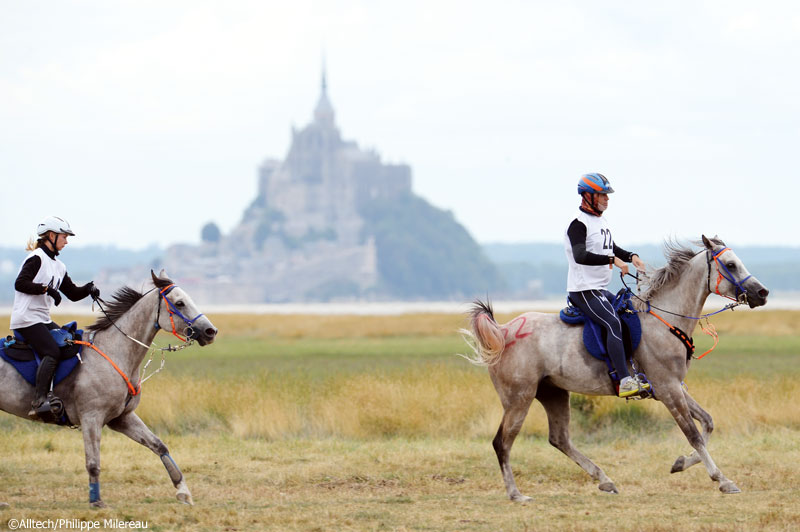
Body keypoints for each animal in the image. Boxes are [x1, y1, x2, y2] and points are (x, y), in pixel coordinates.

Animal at [0, 272, 219, 510]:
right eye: (179, 303)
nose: (210, 331)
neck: (115, 351)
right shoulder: (92, 418)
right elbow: (93, 463)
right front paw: (96, 501)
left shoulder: (122, 418)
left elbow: (159, 446)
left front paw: (183, 492)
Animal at [462, 237, 768, 502]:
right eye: (730, 264)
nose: (762, 293)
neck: (664, 320)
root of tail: (503, 331)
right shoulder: (668, 390)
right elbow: (693, 434)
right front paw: (723, 480)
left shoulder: (674, 387)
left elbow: (708, 422)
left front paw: (681, 463)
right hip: (519, 399)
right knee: (502, 443)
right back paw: (516, 494)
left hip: (553, 394)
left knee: (559, 439)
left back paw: (604, 479)